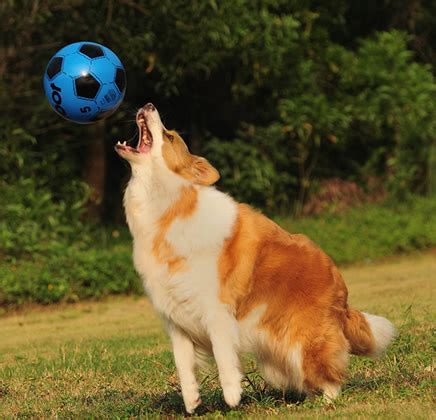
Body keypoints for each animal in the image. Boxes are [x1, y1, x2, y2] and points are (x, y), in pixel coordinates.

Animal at [115, 102, 396, 414]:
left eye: (169, 136)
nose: (148, 105)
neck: (168, 205)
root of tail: (342, 296)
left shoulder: (217, 311)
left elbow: (224, 357)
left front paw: (232, 396)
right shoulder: (176, 319)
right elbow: (183, 366)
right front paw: (192, 401)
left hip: (303, 342)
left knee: (330, 376)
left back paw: (325, 403)